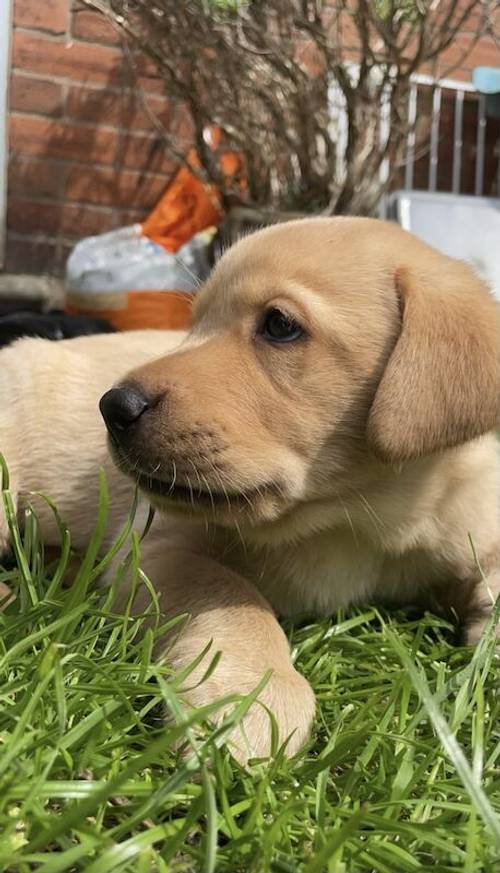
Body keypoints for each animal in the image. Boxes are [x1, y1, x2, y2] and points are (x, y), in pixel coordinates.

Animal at [0, 218, 500, 756]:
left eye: (279, 325)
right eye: (195, 321)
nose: (113, 407)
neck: (353, 519)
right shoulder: (159, 546)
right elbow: (233, 594)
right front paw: (251, 697)